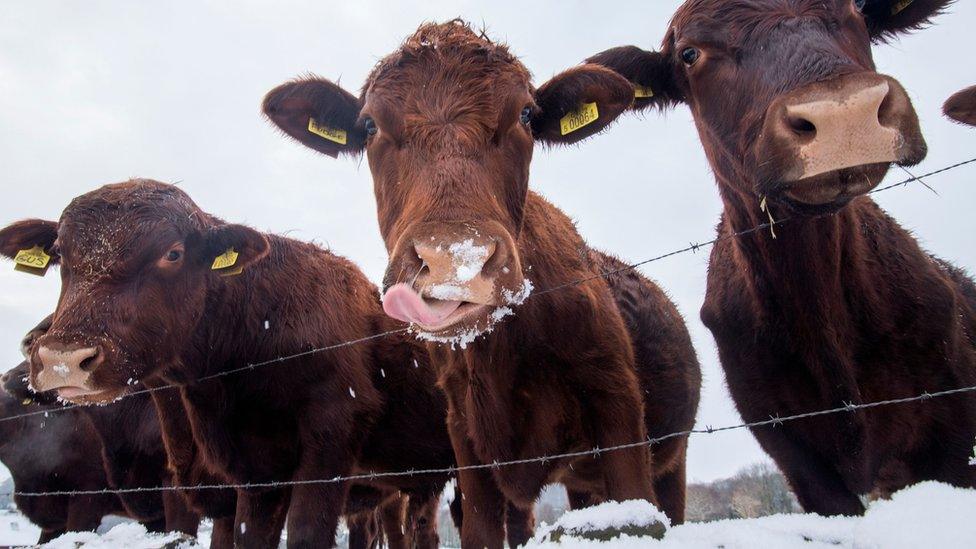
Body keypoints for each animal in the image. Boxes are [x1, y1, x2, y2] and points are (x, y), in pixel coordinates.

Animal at [260, 19, 700, 544]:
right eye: (369, 125)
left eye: (526, 115)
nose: (454, 258)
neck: (501, 354)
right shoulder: (465, 436)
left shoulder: (617, 403)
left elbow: (636, 514)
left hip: (672, 457)